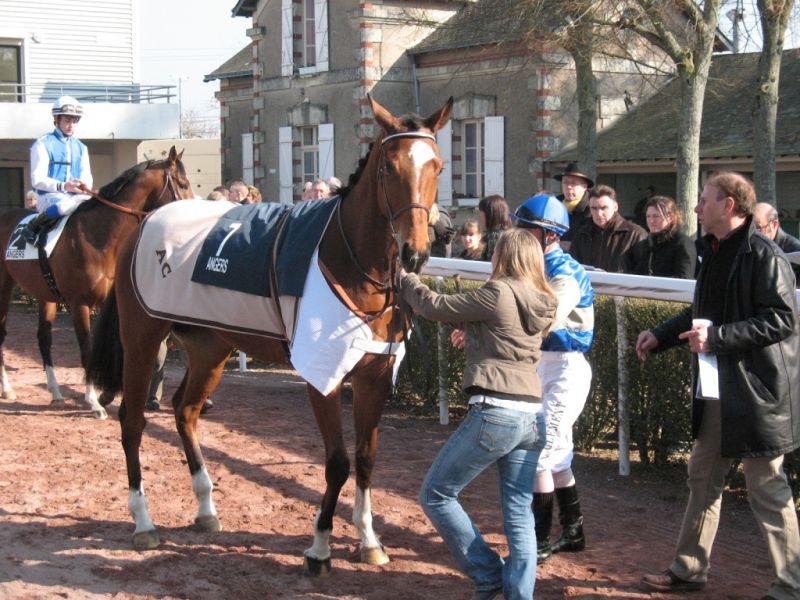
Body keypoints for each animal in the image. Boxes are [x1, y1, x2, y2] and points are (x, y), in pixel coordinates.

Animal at [0, 147, 194, 418]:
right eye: (183, 184)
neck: (98, 238)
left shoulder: (109, 302)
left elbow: (115, 345)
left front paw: (108, 394)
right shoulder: (80, 303)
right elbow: (87, 349)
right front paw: (93, 401)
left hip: (45, 294)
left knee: (44, 339)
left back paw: (56, 393)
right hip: (4, 285)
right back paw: (7, 389)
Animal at [86, 95, 453, 575]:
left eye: (439, 166)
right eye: (389, 168)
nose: (416, 251)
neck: (347, 260)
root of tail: (146, 222)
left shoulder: (375, 374)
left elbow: (367, 459)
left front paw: (370, 539)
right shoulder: (322, 375)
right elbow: (337, 462)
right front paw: (319, 547)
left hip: (211, 347)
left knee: (186, 411)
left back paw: (206, 509)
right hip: (143, 338)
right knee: (133, 420)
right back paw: (143, 523)